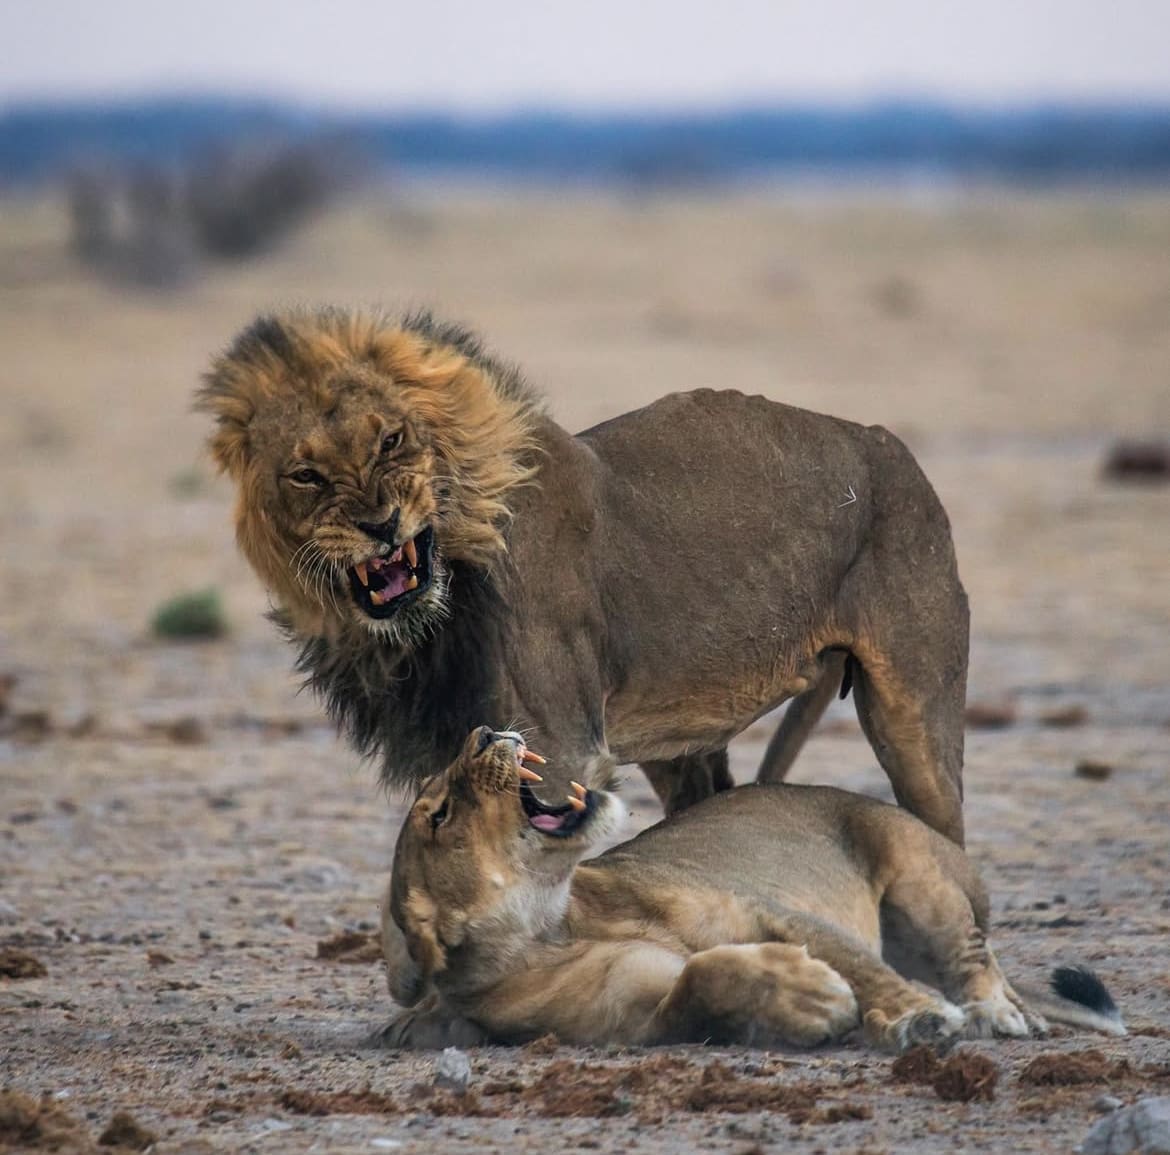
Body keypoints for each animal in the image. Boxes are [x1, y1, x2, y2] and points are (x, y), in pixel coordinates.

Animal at [198, 306, 968, 837]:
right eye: (305, 474)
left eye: (391, 440)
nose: (380, 523)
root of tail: (890, 445)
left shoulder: (561, 748)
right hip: (675, 737)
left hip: (915, 710)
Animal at [381, 730, 1123, 1057]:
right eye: (439, 812)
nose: (486, 729)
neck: (555, 924)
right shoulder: (639, 1021)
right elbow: (699, 982)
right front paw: (810, 997)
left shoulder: (768, 908)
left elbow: (863, 967)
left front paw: (916, 1013)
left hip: (921, 873)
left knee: (974, 959)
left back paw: (995, 1011)